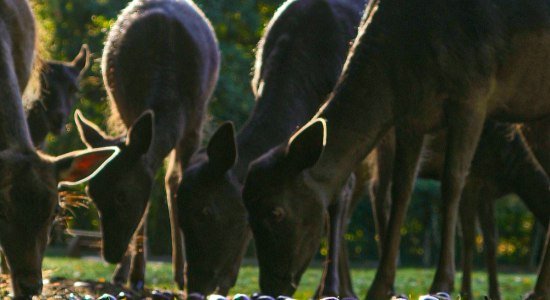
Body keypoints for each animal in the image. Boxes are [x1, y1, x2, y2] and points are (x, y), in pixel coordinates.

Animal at [75, 0, 220, 292]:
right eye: (91, 193)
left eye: (122, 195)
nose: (110, 254)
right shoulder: (127, 108)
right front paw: (134, 275)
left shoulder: (195, 122)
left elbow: (179, 183)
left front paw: (185, 275)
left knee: (171, 179)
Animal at [244, 0, 550, 298]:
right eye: (248, 213)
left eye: (276, 212)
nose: (270, 287)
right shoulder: (411, 117)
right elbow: (401, 190)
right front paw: (380, 286)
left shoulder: (473, 93)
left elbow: (452, 184)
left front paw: (442, 284)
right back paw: (539, 290)